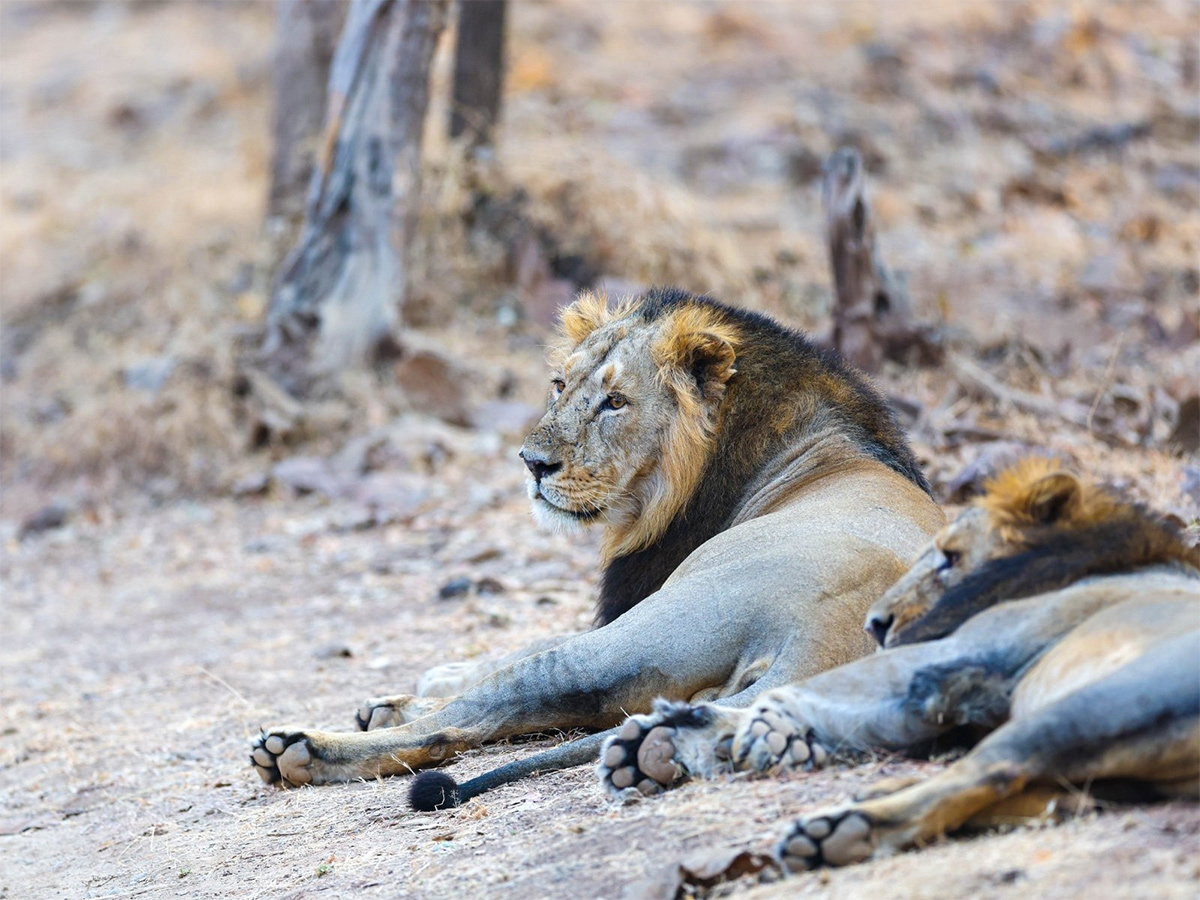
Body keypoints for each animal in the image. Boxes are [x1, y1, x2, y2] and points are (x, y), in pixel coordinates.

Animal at [248, 286, 940, 796]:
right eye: (560, 385)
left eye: (615, 402)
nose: (532, 463)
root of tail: (823, 638)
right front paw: (398, 694)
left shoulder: (629, 601)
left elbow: (519, 646)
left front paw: (414, 687)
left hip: (641, 633)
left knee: (468, 719)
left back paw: (299, 750)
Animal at [600, 460, 1200, 868]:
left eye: (950, 557)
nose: (876, 623)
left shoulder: (957, 653)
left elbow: (814, 690)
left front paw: (677, 736)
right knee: (1033, 795)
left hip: (1089, 707)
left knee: (990, 772)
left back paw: (839, 830)